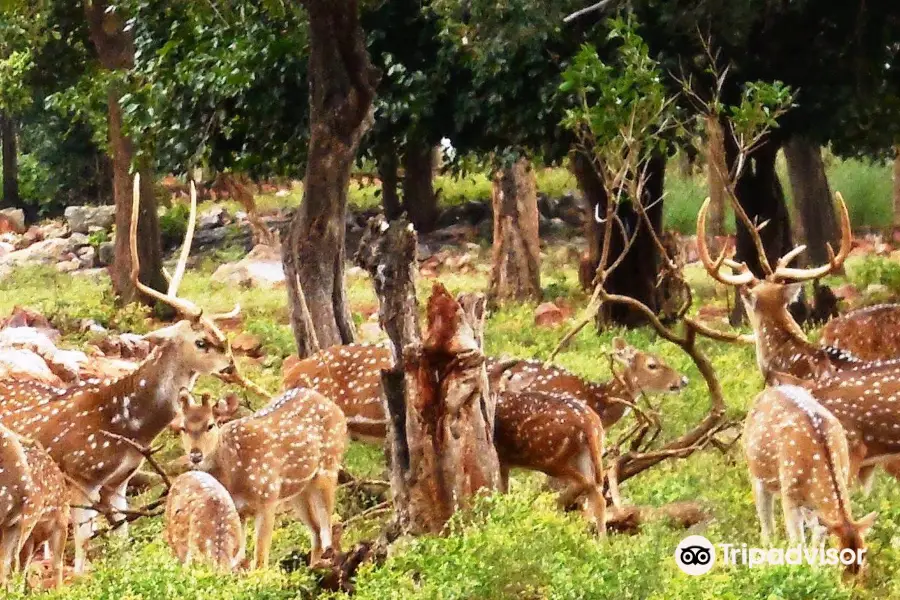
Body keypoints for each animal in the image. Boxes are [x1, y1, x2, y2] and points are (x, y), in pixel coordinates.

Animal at [171, 386, 346, 568]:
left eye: (210, 425)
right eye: (183, 428)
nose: (196, 455)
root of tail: (335, 407)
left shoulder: (268, 498)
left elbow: (260, 560)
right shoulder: (237, 510)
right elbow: (238, 556)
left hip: (329, 466)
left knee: (327, 528)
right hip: (298, 490)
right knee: (316, 529)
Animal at [740, 382, 876, 576]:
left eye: (864, 552)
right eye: (838, 553)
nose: (853, 576)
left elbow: (818, 536)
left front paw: (815, 572)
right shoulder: (789, 495)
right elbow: (797, 542)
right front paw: (799, 573)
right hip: (756, 473)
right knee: (767, 527)